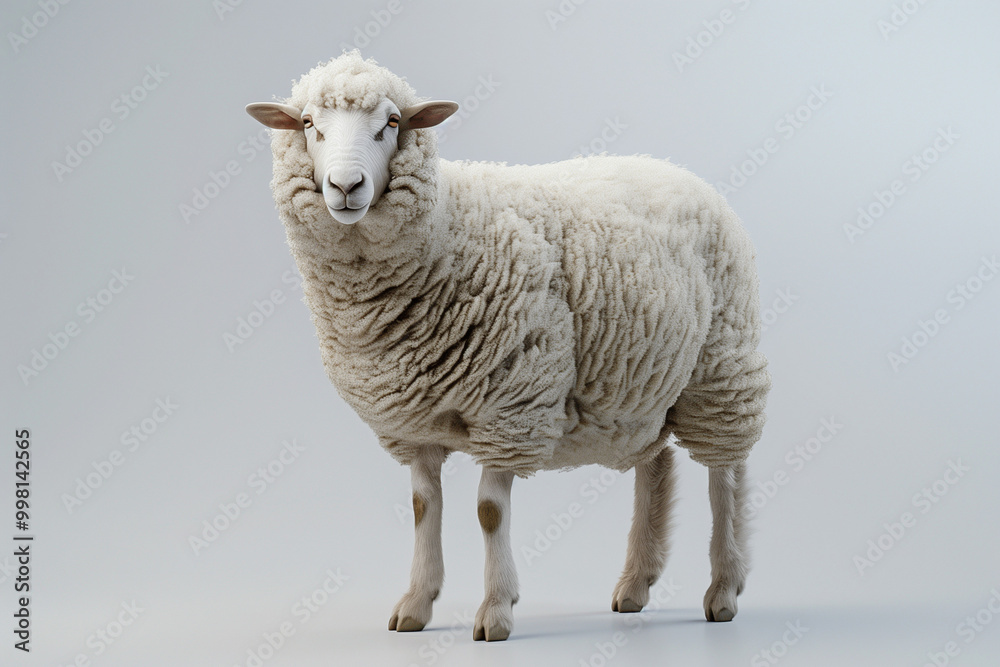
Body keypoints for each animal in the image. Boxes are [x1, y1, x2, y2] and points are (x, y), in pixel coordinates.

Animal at [246, 51, 770, 642]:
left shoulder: (512, 405)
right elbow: (423, 508)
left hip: (721, 366)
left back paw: (723, 590)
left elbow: (489, 512)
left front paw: (496, 610)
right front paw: (416, 605)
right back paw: (636, 585)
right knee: (656, 466)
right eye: (309, 124)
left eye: (393, 123)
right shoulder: (415, 420)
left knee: (725, 475)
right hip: (642, 381)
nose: (345, 185)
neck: (448, 227)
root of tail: (674, 169)